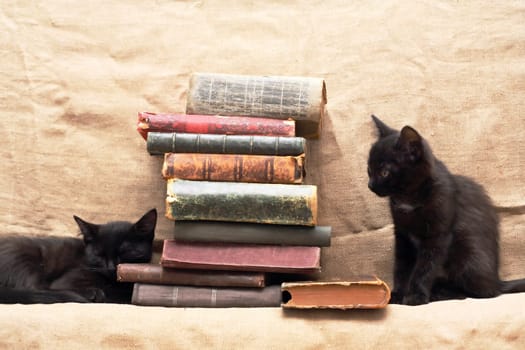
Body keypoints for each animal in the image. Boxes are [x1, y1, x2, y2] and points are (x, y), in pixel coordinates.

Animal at [0, 208, 156, 304]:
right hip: (23, 256)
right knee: (34, 287)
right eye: (99, 254)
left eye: (125, 252)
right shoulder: (68, 279)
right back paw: (92, 293)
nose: (111, 268)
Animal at [366, 116, 524, 304]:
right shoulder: (402, 235)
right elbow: (402, 266)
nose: (370, 185)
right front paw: (398, 293)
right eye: (369, 169)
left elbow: (426, 267)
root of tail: (496, 280)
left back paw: (442, 293)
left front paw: (415, 296)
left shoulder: (438, 235)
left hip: (467, 254)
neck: (408, 199)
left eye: (384, 172)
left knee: (479, 292)